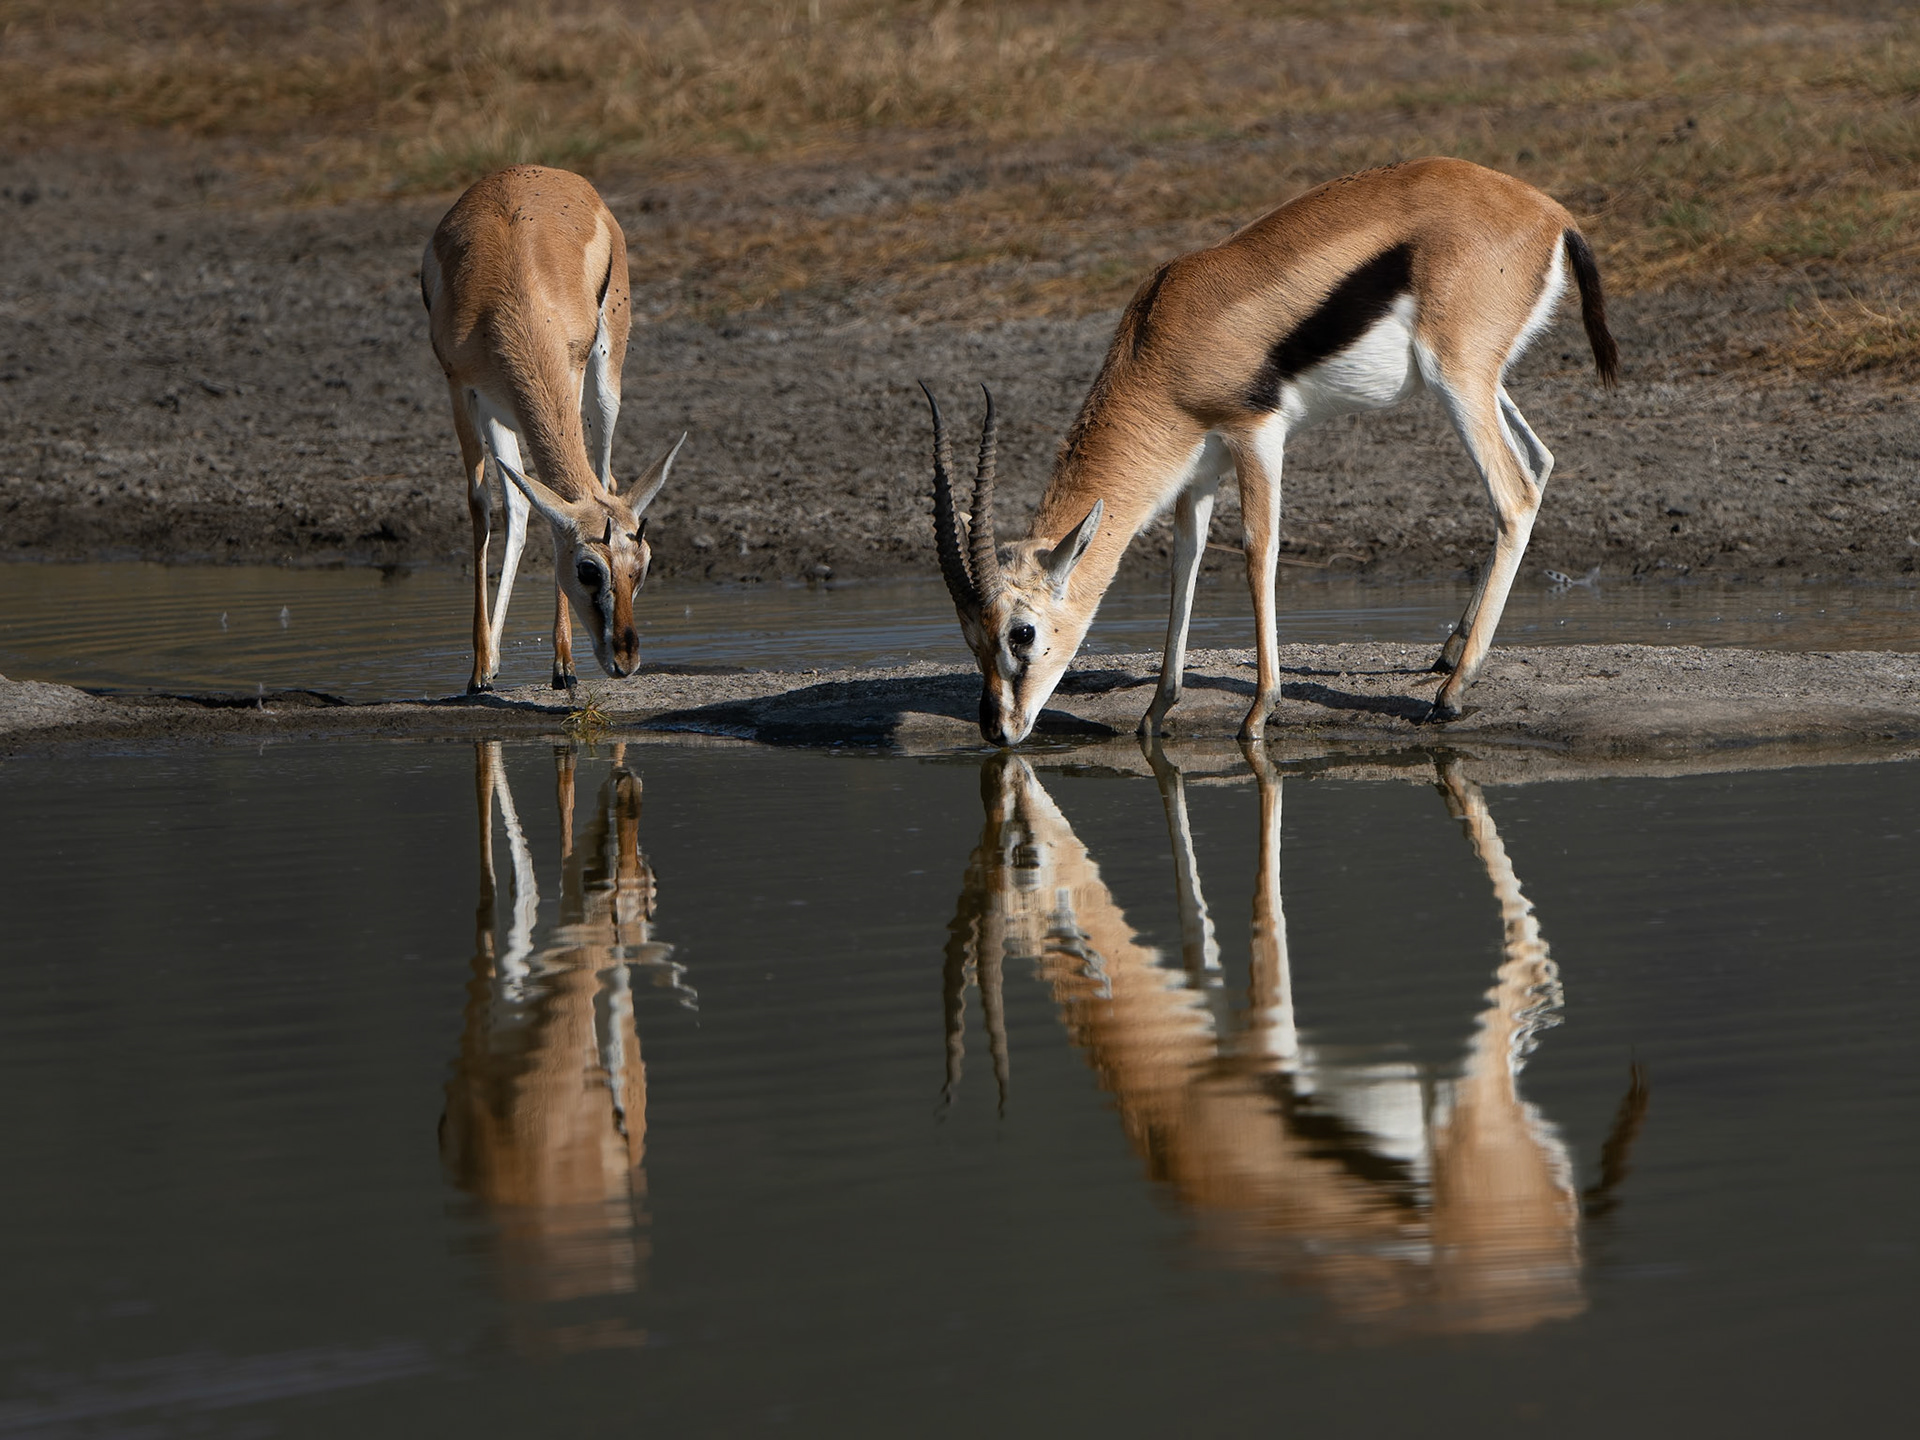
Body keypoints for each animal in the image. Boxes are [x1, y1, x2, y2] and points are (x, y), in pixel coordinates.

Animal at [423, 166, 685, 694]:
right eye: (588, 570)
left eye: (643, 566)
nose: (625, 659)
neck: (510, 300)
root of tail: (542, 171)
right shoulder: (462, 389)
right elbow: (481, 507)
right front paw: (479, 670)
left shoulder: (570, 368)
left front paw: (564, 665)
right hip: (502, 412)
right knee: (521, 503)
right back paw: (493, 659)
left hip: (605, 376)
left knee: (603, 477)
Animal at [922, 157, 1619, 744]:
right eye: (970, 637)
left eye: (1023, 633)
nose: (998, 730)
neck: (1163, 340)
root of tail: (1552, 213)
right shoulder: (1197, 470)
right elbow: (1186, 564)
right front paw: (1157, 712)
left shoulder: (1255, 435)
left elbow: (1260, 553)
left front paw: (1259, 711)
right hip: (1479, 383)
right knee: (1541, 461)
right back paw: (1448, 651)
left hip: (1459, 381)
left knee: (1514, 494)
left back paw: (1452, 692)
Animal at [942, 747, 1646, 1331]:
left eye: (1024, 862)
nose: (1002, 741)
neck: (1176, 1106)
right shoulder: (1219, 1009)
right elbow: (1199, 931)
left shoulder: (1268, 1031)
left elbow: (1267, 917)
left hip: (1475, 1093)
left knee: (1530, 960)